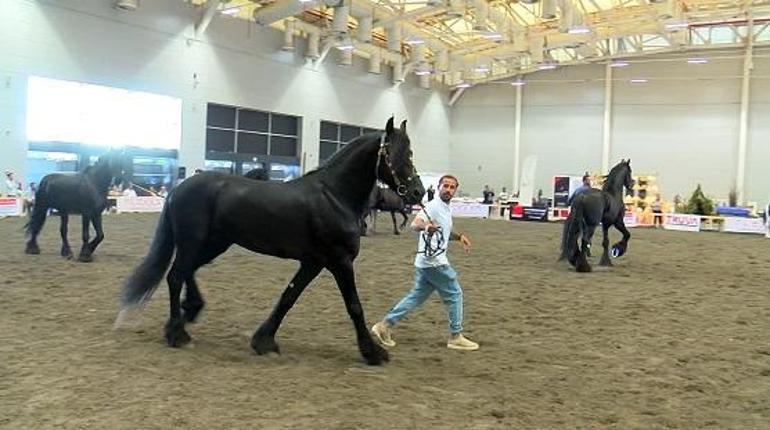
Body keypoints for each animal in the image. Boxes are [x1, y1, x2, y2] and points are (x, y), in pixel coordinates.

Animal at [117, 118, 424, 366]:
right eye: (398, 154)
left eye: (410, 152)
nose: (418, 192)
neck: (334, 196)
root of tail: (178, 189)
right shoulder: (340, 261)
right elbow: (354, 306)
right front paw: (373, 352)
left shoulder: (313, 262)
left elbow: (288, 298)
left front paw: (264, 341)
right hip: (195, 241)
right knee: (176, 275)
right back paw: (177, 333)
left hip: (214, 243)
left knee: (186, 272)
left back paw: (190, 309)